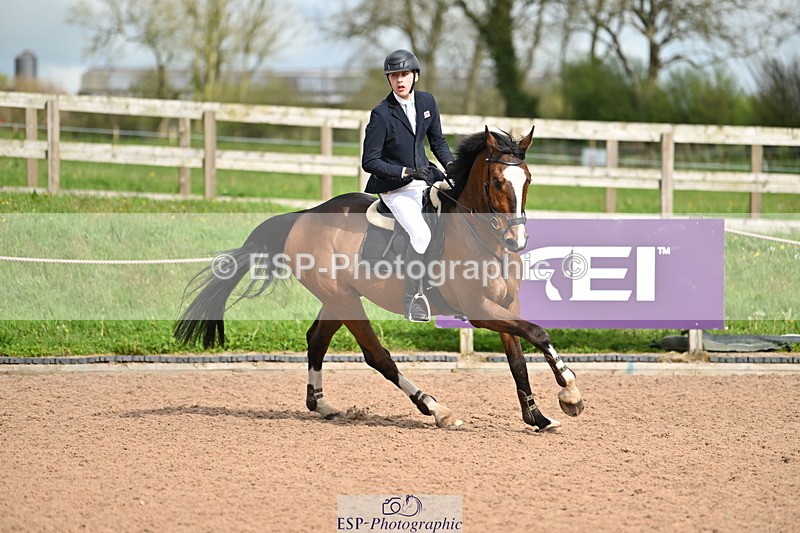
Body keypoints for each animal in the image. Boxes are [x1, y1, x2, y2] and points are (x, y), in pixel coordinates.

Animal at [174, 127, 585, 432]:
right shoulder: (479, 310)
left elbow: (517, 359)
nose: (518, 241)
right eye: (498, 182)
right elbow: (537, 333)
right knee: (378, 357)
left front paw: (538, 416)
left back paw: (322, 405)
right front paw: (570, 391)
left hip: (338, 299)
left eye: (527, 180)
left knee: (317, 340)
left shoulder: (504, 305)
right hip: (346, 300)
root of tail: (304, 215)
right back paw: (436, 408)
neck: (483, 236)